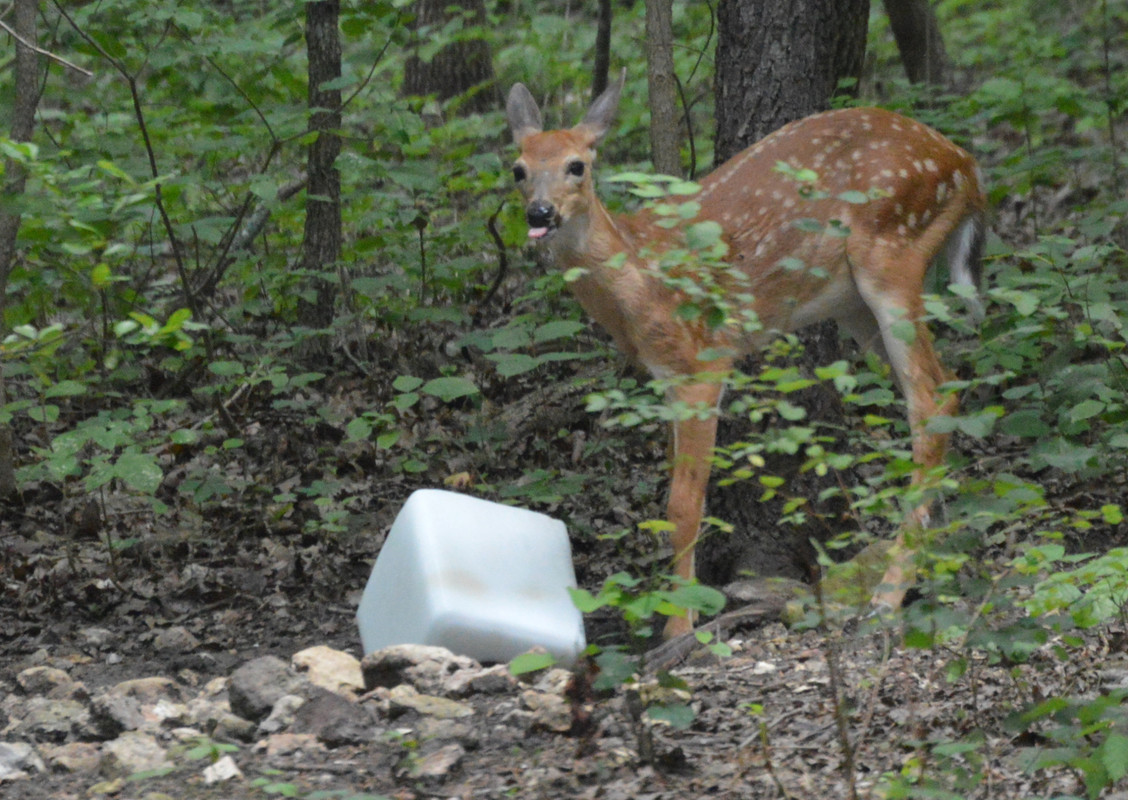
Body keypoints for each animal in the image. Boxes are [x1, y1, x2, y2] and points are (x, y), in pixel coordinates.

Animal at [506, 74, 987, 639]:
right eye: (519, 169)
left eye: (577, 165)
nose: (540, 213)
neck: (640, 283)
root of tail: (965, 164)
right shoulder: (664, 378)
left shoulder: (704, 362)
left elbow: (683, 504)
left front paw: (679, 628)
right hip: (854, 303)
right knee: (947, 389)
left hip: (894, 252)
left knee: (930, 399)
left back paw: (887, 597)